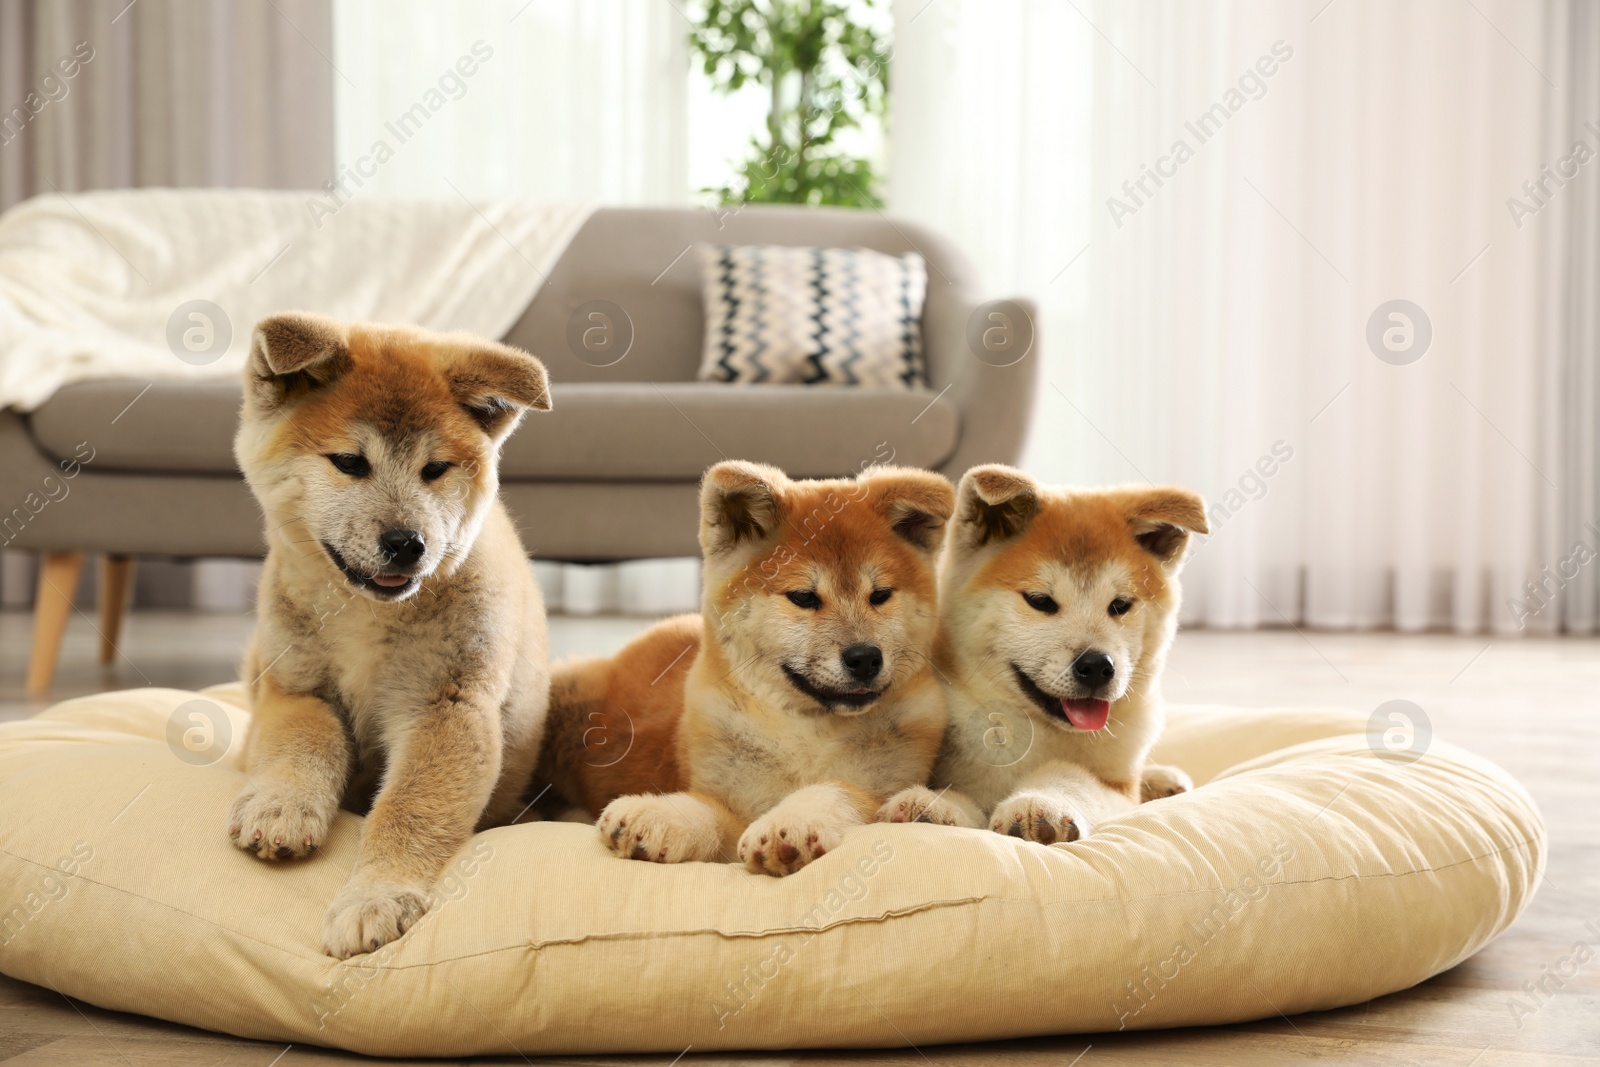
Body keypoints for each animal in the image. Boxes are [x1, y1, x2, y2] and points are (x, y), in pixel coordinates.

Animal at [228, 313, 556, 953]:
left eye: (435, 469)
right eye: (350, 462)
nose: (408, 543)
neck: (363, 613)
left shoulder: (445, 708)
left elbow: (407, 809)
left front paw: (375, 897)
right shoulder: (296, 688)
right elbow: (302, 747)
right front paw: (281, 807)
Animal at [544, 460, 953, 876]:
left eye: (880, 595)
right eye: (803, 597)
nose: (865, 657)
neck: (807, 733)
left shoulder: (883, 784)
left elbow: (837, 789)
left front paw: (791, 823)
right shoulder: (728, 797)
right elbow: (707, 810)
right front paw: (657, 814)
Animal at [883, 467, 1203, 844]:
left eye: (1121, 605)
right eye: (1040, 601)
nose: (1097, 665)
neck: (1033, 730)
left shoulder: (1121, 787)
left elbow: (1071, 774)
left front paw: (1039, 803)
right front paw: (935, 806)